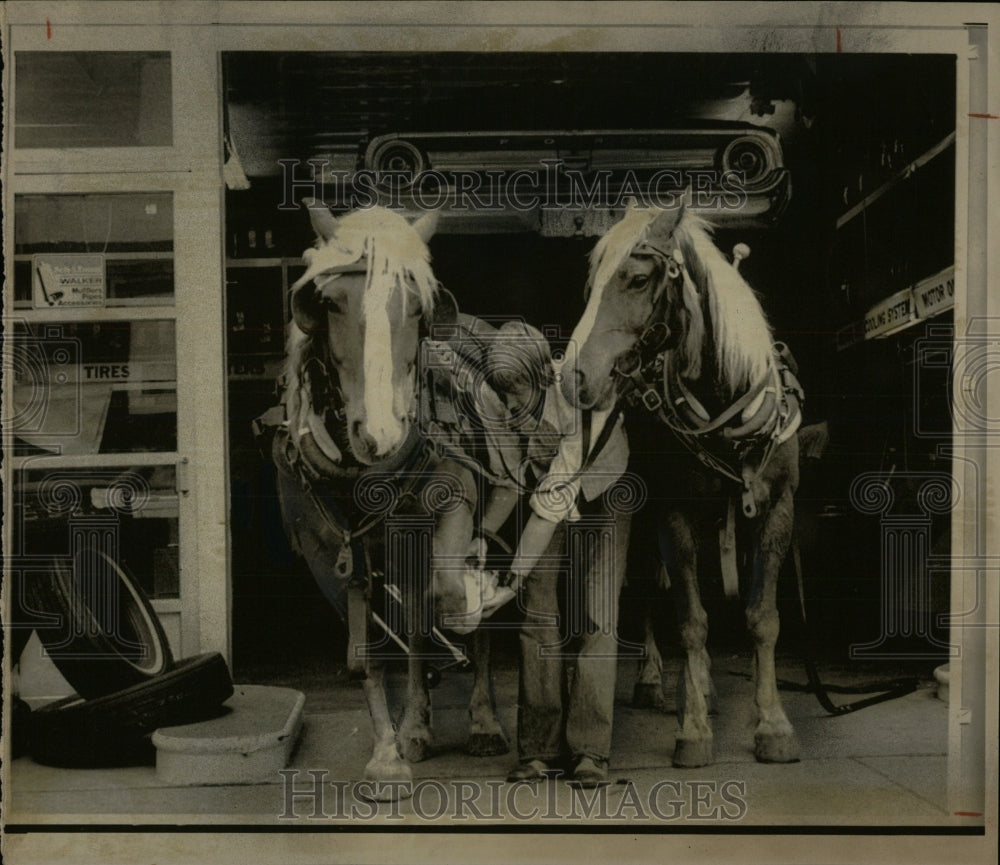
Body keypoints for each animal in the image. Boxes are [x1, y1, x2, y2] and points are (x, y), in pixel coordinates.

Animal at [270, 201, 508, 796]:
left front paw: (472, 605)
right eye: (329, 302)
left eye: (419, 306)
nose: (381, 434)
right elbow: (367, 656)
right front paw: (387, 751)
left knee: (454, 613)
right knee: (415, 622)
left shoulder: (453, 504)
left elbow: (450, 593)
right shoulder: (328, 550)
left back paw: (483, 722)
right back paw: (417, 726)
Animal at [568, 201, 808, 764]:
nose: (575, 374)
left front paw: (773, 724)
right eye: (591, 285)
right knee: (650, 595)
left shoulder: (777, 508)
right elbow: (691, 620)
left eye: (636, 279)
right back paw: (658, 681)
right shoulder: (672, 511)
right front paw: (694, 729)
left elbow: (763, 618)